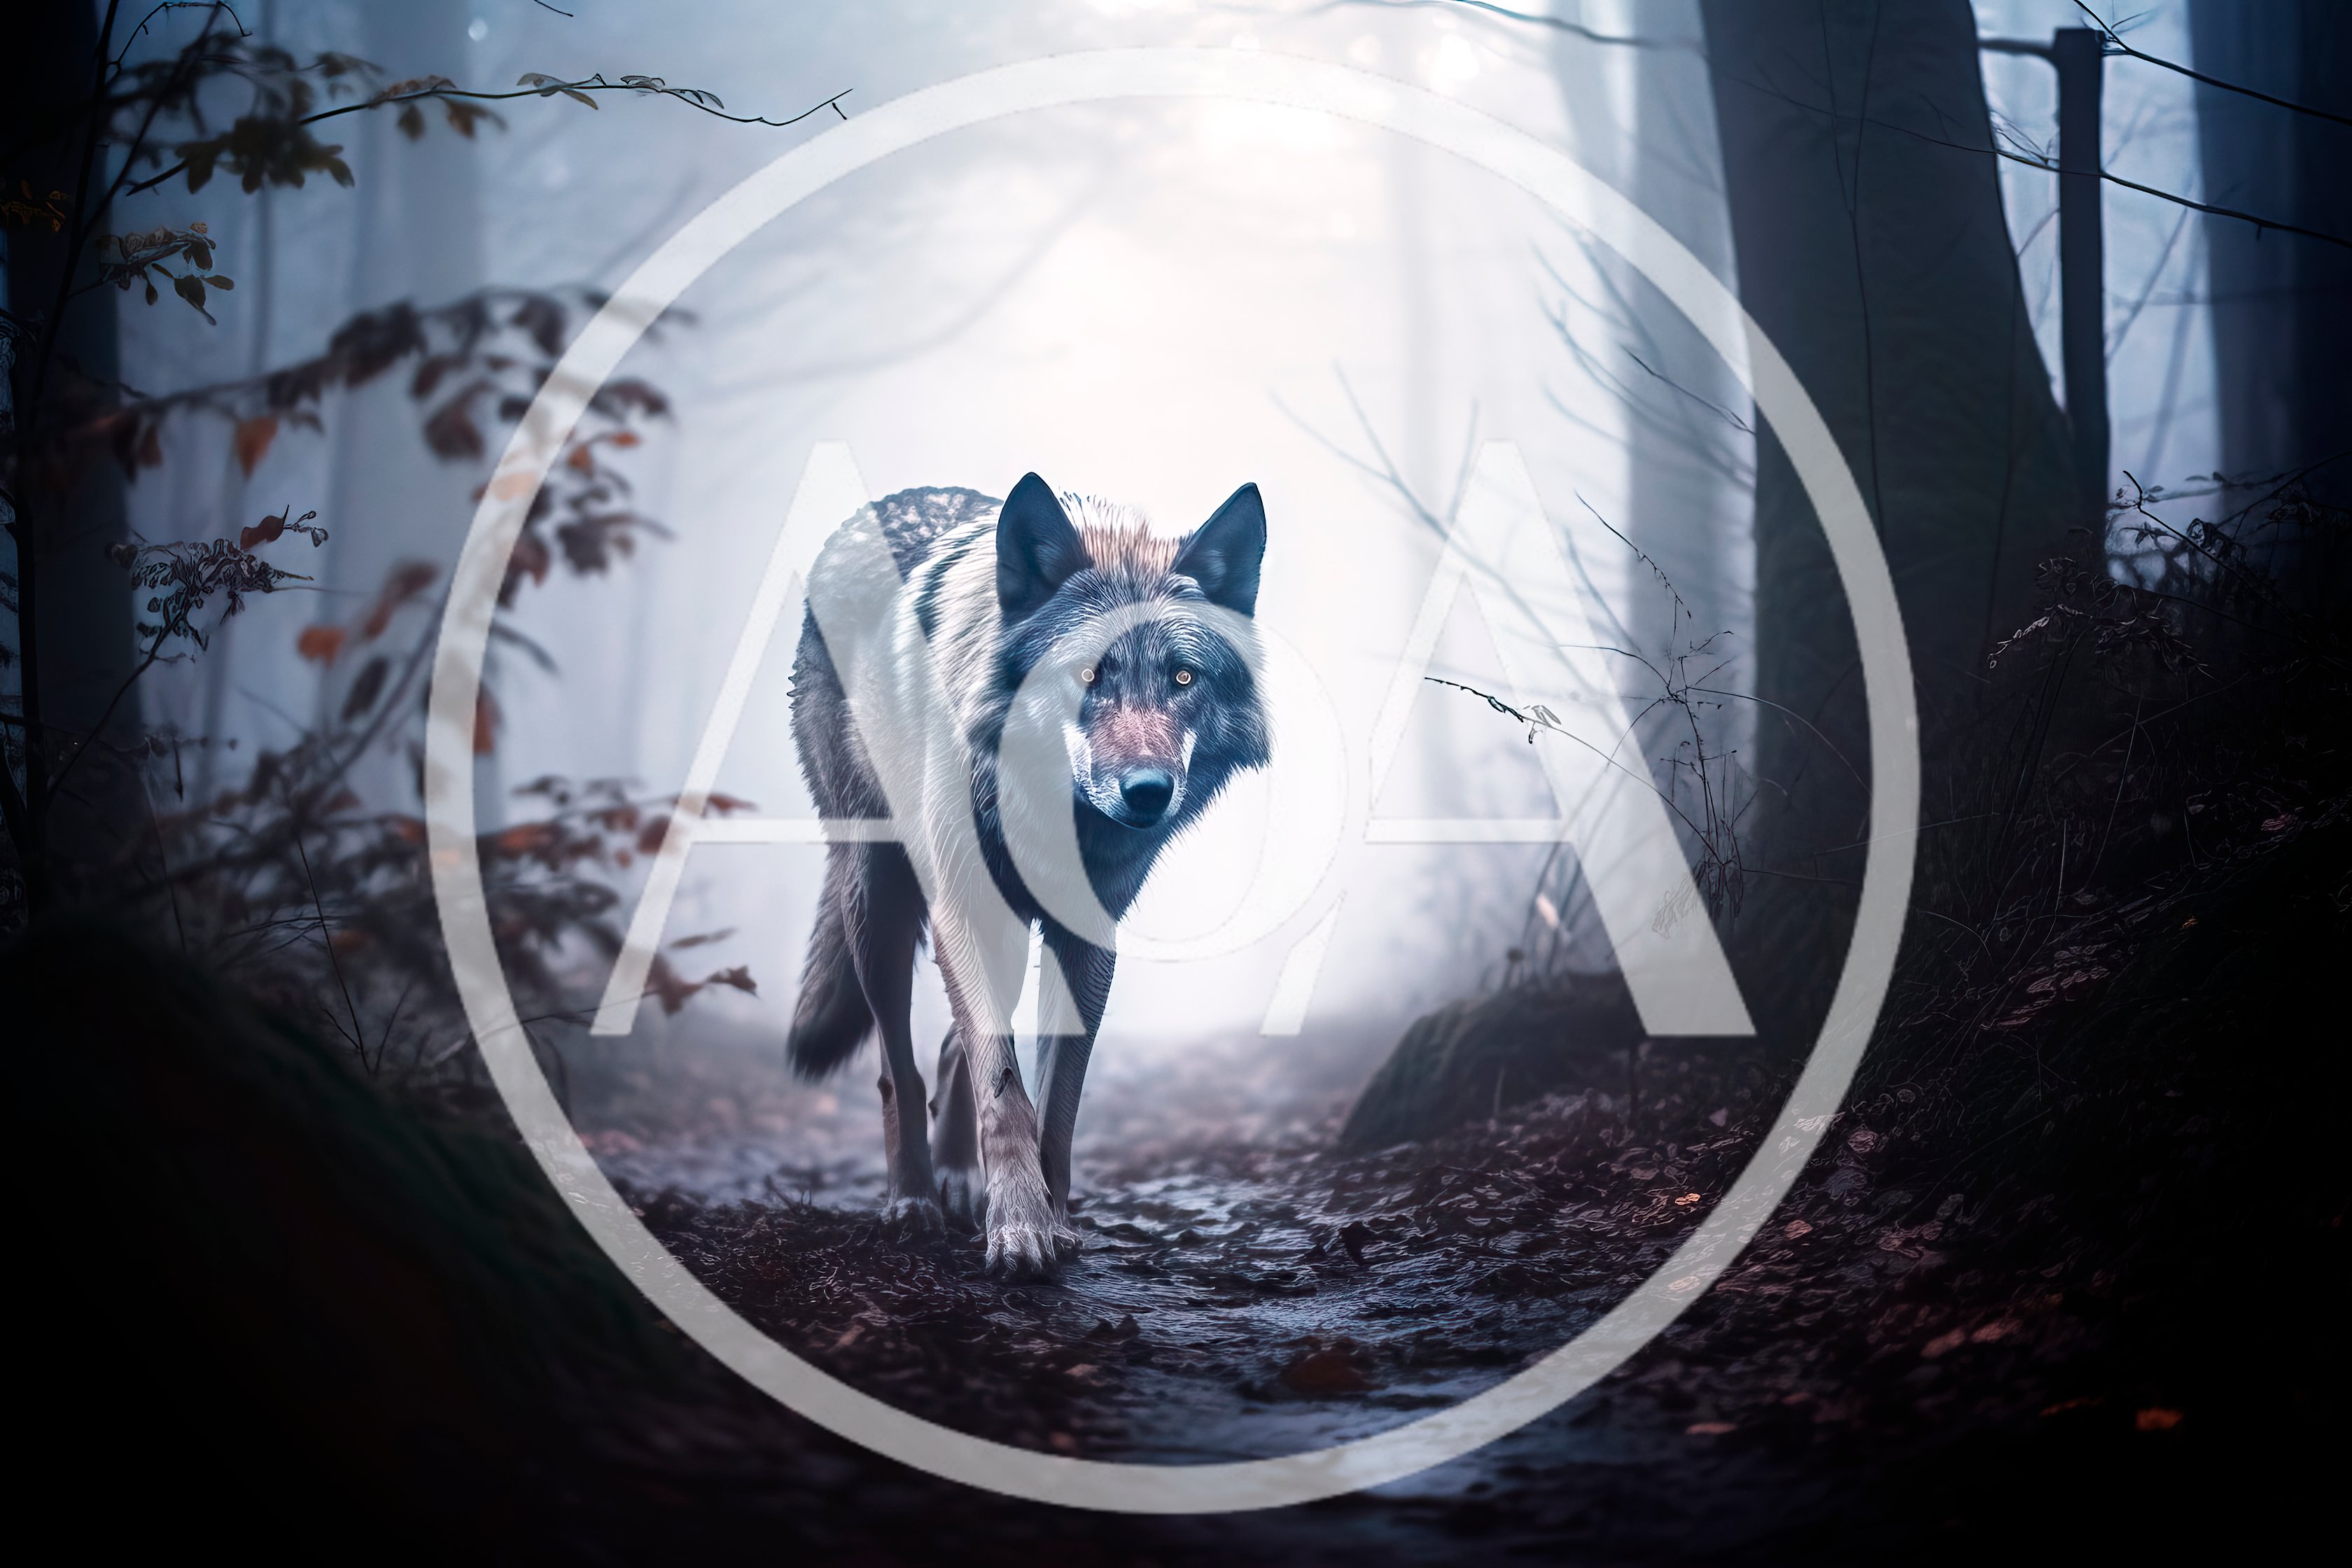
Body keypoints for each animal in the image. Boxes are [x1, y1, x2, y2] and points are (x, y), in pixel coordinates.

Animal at [785, 473, 1270, 1278]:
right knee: (899, 1064)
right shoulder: (965, 908)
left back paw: (956, 1179)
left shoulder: (1086, 937)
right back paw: (913, 1197)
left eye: (1182, 676)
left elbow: (1057, 1102)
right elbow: (1003, 1087)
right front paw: (1017, 1226)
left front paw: (1052, 1219)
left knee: (952, 1047)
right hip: (879, 899)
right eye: (1086, 674)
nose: (1148, 793)